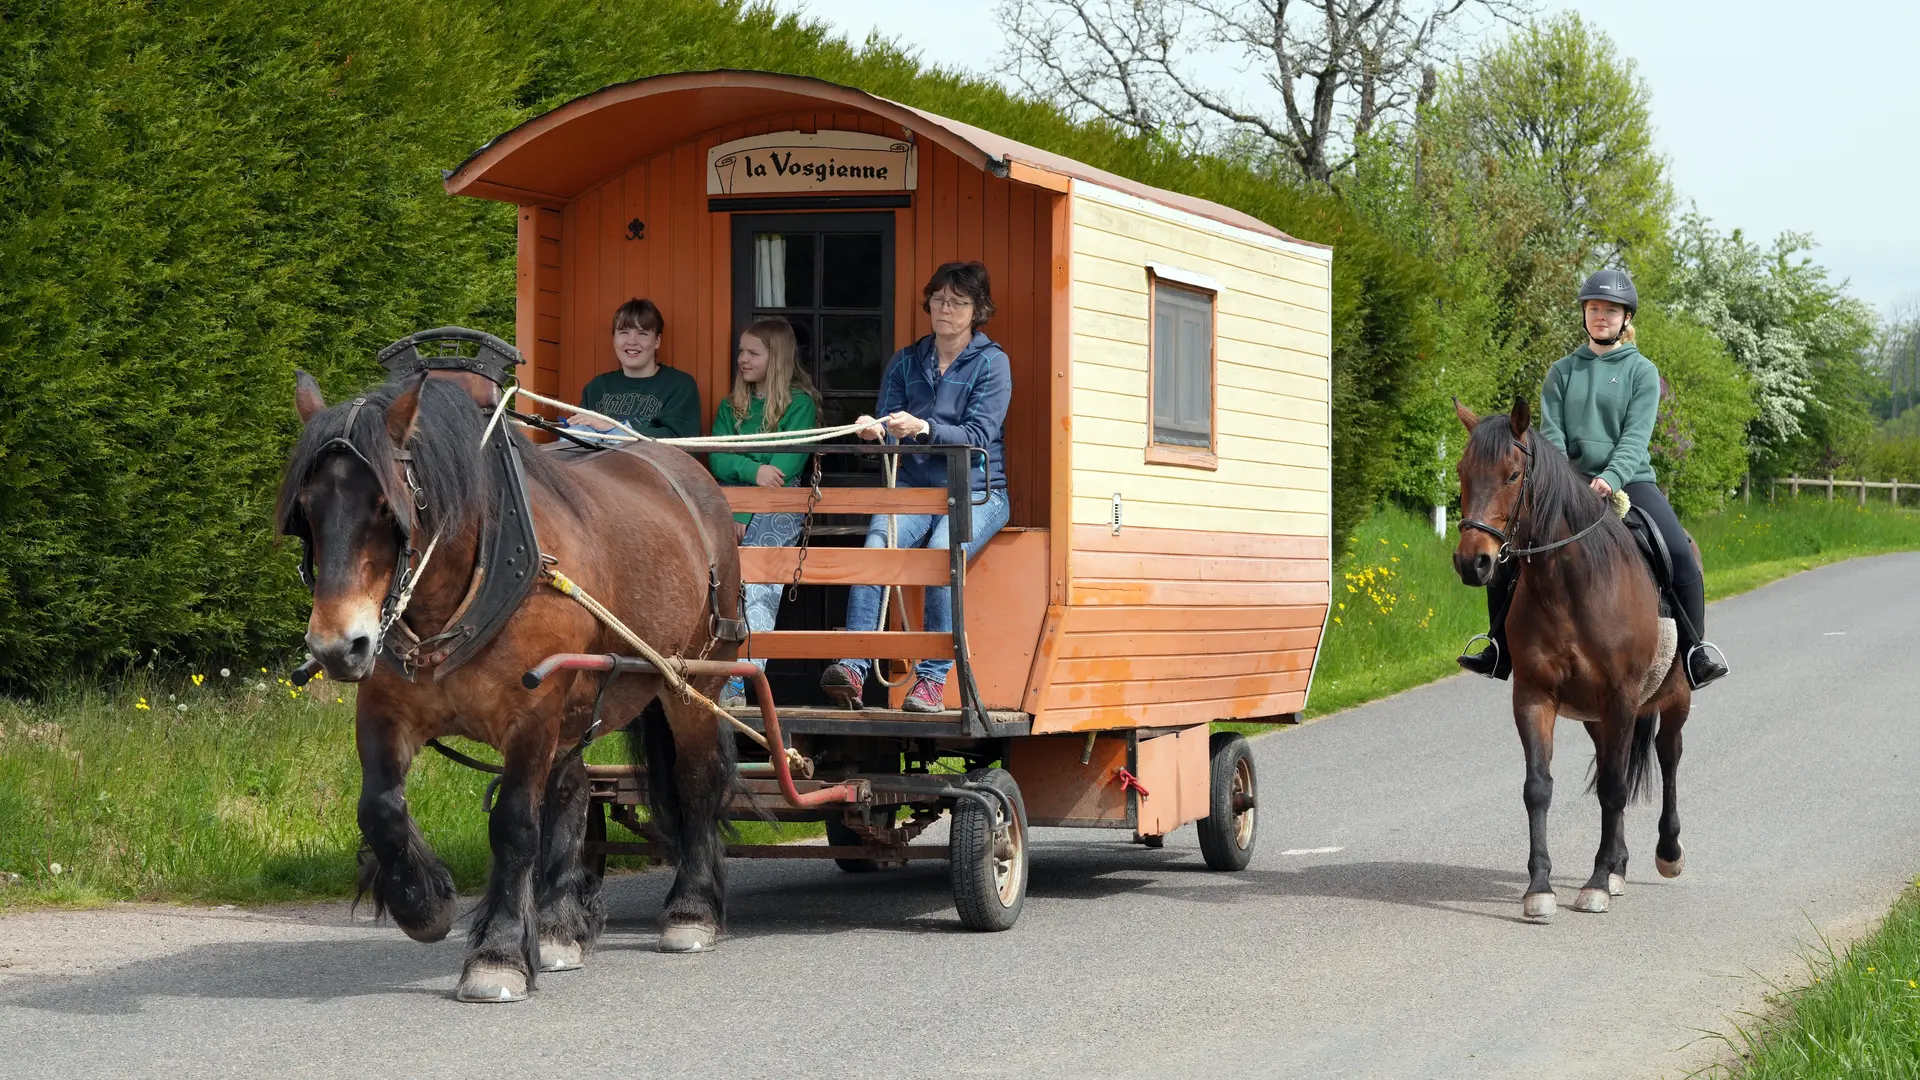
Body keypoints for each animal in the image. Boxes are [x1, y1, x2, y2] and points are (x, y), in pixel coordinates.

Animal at [278, 357, 741, 999]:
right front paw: (424, 903)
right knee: (573, 789)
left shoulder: (532, 713)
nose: (337, 647)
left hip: (691, 682)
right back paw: (556, 925)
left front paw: (496, 952)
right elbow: (380, 808)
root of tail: (685, 469)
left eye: (387, 508)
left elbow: (516, 824)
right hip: (580, 697)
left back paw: (690, 911)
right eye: (307, 510)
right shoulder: (385, 709)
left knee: (697, 778)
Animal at [1451, 395, 1697, 914]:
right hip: (1596, 717)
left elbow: (1615, 788)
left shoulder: (1622, 697)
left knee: (1668, 757)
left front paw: (1597, 883)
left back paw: (1666, 854)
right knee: (1612, 765)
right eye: (1463, 471)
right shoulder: (1534, 696)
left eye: (1512, 474)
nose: (1472, 562)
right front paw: (1540, 888)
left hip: (1674, 698)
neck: (1570, 584)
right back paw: (1619, 866)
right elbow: (1539, 787)